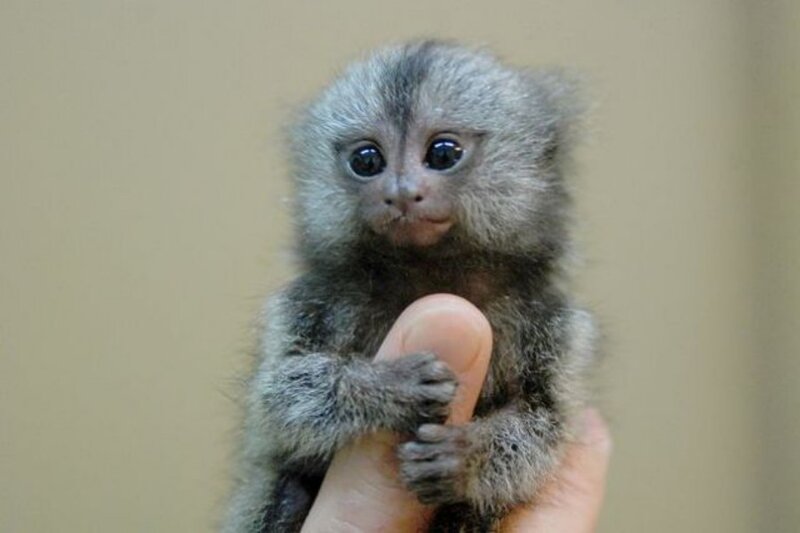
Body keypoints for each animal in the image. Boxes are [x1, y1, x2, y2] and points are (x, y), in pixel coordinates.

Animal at [223, 40, 598, 533]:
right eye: (367, 161)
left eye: (443, 153)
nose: (401, 192)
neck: (427, 272)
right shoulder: (302, 305)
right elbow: (279, 396)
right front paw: (387, 387)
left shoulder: (556, 325)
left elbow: (545, 421)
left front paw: (463, 460)